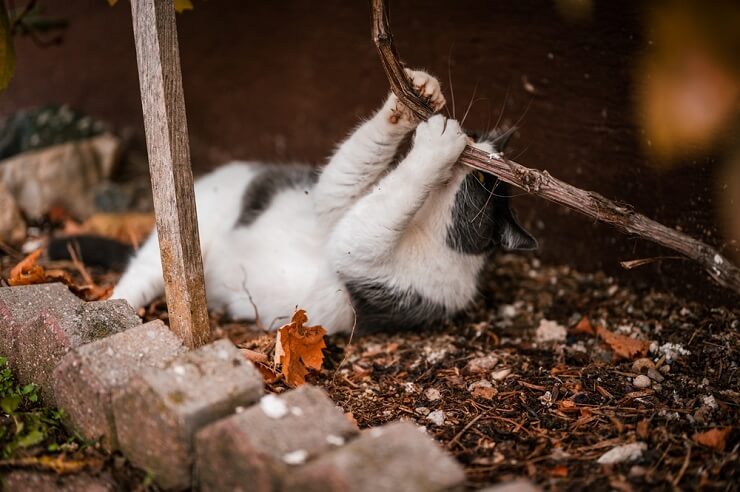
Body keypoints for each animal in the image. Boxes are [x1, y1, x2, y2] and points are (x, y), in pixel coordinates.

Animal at [110, 69, 536, 334]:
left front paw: (438, 144)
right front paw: (415, 94)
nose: (473, 144)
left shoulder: (369, 256)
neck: (427, 217)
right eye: (478, 136)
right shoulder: (331, 203)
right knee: (139, 274)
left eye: (483, 178)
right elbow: (343, 175)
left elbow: (384, 205)